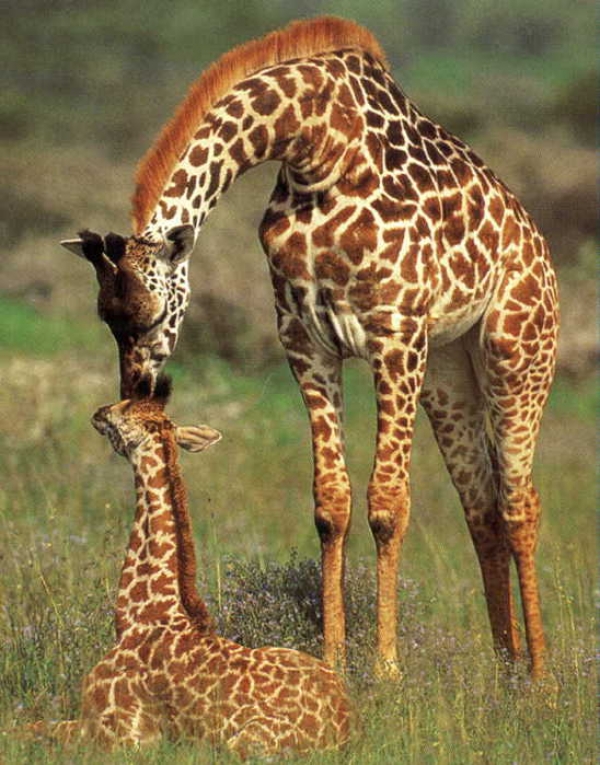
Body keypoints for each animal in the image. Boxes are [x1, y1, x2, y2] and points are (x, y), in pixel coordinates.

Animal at [23, 376, 352, 756]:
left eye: (122, 413)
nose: (99, 412)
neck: (137, 617)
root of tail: (348, 729)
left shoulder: (119, 734)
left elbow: (23, 728)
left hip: (246, 742)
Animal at [61, 17, 559, 678]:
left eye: (153, 314)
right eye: (105, 318)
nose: (133, 396)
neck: (313, 148)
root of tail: (541, 251)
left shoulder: (394, 334)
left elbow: (388, 504)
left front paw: (387, 668)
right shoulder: (305, 340)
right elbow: (331, 504)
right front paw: (332, 657)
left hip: (516, 352)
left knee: (519, 502)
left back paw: (541, 677)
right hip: (450, 373)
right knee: (480, 506)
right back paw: (504, 669)